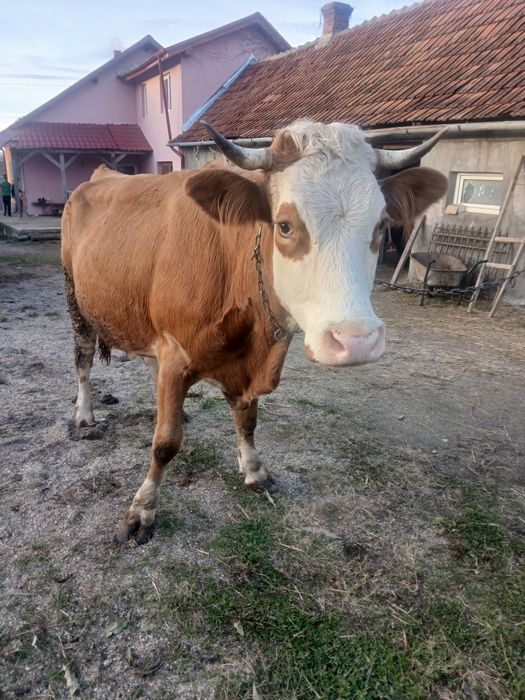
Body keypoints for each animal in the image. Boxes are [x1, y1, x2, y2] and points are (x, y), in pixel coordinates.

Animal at [61, 120, 447, 544]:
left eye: (381, 226)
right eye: (285, 225)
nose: (356, 341)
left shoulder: (242, 358)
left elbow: (246, 421)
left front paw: (254, 469)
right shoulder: (175, 351)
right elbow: (165, 443)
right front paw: (142, 509)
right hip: (75, 298)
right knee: (82, 358)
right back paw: (85, 414)